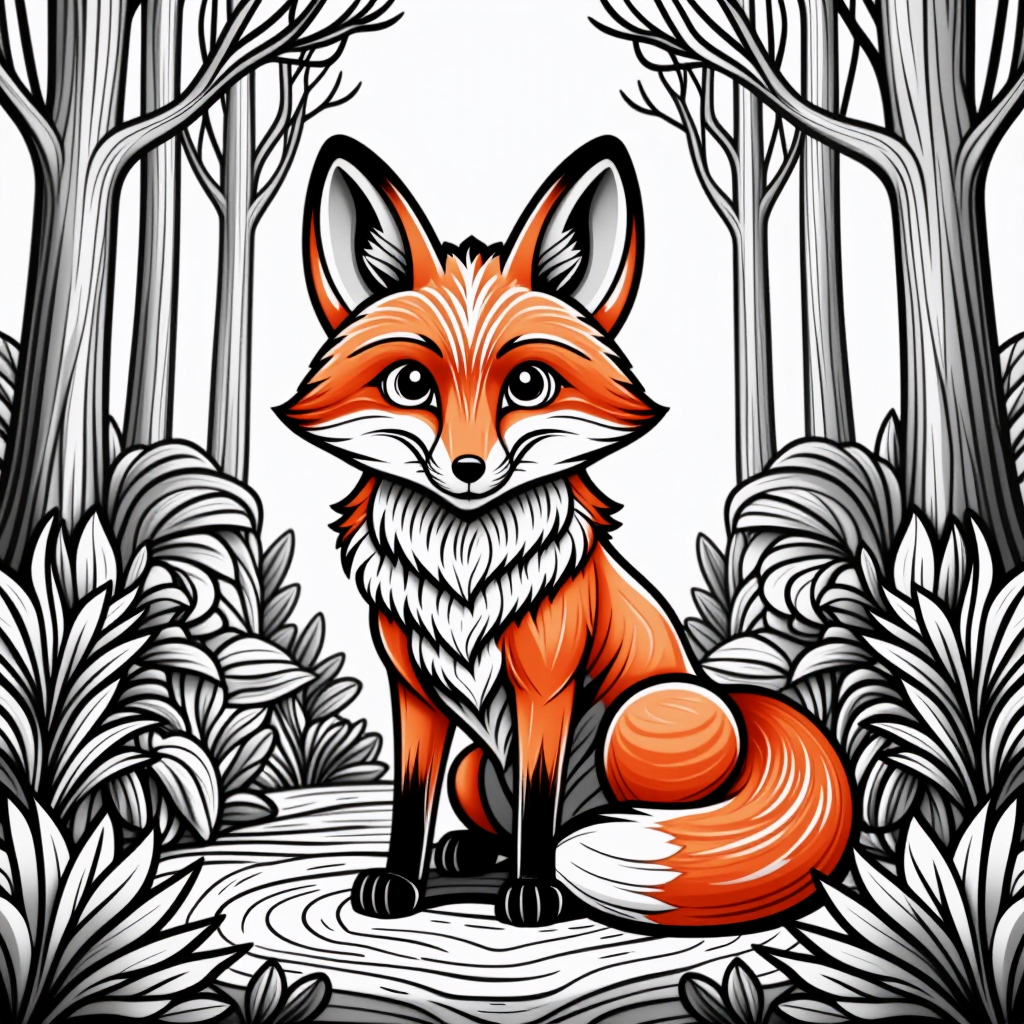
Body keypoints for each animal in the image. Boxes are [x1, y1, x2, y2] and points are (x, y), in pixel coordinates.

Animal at [279, 135, 853, 930]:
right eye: (409, 385)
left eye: (527, 386)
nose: (467, 470)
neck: (464, 568)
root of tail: (737, 700)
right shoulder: (413, 692)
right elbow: (410, 801)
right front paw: (399, 881)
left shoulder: (545, 685)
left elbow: (539, 799)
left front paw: (534, 890)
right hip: (474, 768)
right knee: (492, 811)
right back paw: (468, 851)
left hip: (640, 721)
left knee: (598, 811)